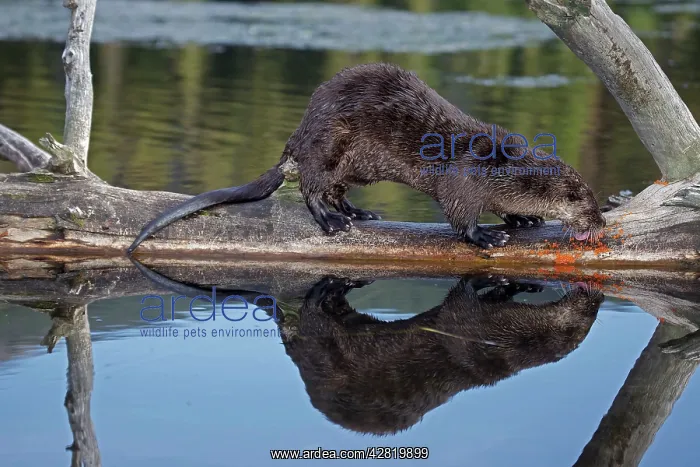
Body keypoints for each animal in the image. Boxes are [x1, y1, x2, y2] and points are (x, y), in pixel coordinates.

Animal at [126, 63, 605, 253]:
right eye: (584, 198)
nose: (601, 222)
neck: (500, 166)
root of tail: (297, 138)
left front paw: (521, 217)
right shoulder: (464, 177)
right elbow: (458, 213)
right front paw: (485, 236)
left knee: (336, 189)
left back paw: (359, 212)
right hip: (328, 143)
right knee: (312, 187)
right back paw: (332, 220)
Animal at [279, 275, 603, 435]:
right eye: (591, 311)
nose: (597, 296)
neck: (510, 338)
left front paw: (513, 285)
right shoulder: (472, 335)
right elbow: (459, 305)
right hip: (325, 358)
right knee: (314, 320)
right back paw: (324, 291)